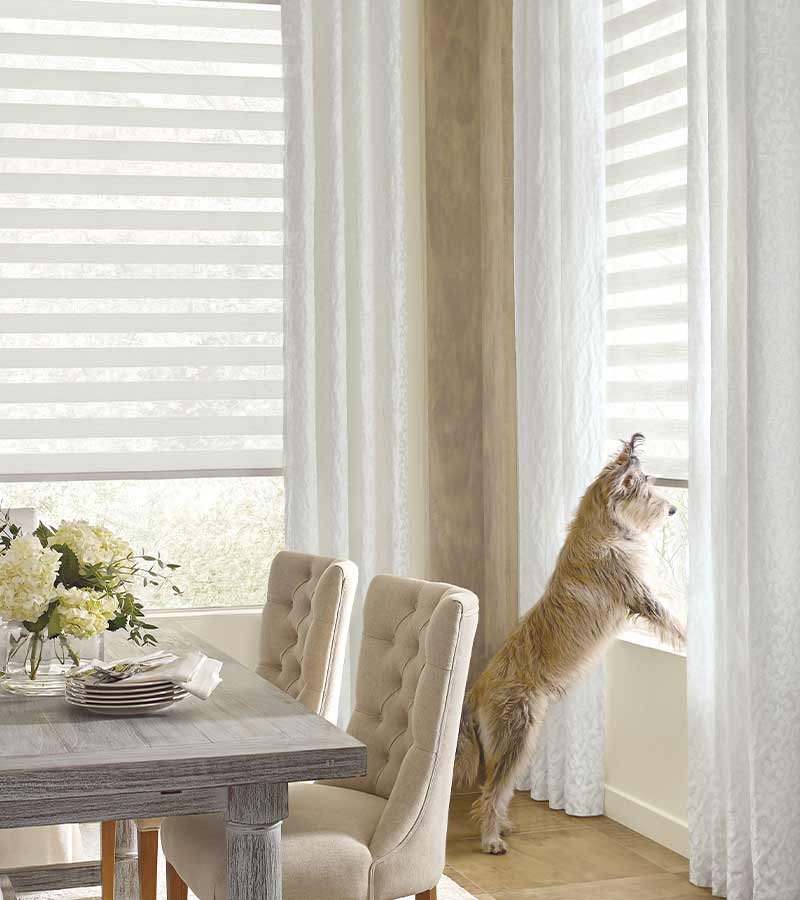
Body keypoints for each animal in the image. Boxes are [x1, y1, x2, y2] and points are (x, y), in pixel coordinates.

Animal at [456, 434, 688, 852]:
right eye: (646, 491)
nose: (674, 508)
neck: (600, 529)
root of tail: (476, 690)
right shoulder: (638, 592)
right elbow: (669, 617)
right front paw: (690, 634)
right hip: (517, 735)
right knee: (490, 791)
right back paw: (491, 838)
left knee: (496, 789)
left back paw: (502, 825)